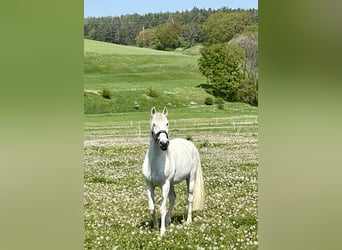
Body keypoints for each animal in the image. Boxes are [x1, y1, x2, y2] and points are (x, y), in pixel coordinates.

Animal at [141, 107, 203, 236]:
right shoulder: (149, 185)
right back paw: (168, 220)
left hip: (191, 178)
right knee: (173, 198)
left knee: (189, 198)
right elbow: (152, 208)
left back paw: (188, 220)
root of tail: (190, 144)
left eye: (167, 123)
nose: (164, 143)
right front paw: (155, 227)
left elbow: (162, 208)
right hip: (172, 183)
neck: (154, 163)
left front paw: (162, 231)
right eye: (154, 124)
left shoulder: (164, 185)